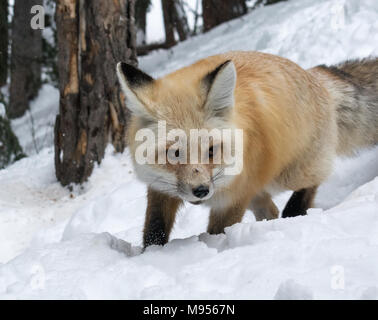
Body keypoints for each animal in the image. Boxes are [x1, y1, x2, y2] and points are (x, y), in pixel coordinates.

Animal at [116, 52, 376, 248]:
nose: (201, 191)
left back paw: (294, 211)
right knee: (270, 209)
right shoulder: (160, 188)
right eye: (175, 153)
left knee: (313, 181)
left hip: (287, 176)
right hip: (257, 190)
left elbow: (217, 232)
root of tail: (314, 76)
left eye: (211, 150)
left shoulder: (233, 197)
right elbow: (154, 229)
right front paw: (152, 254)